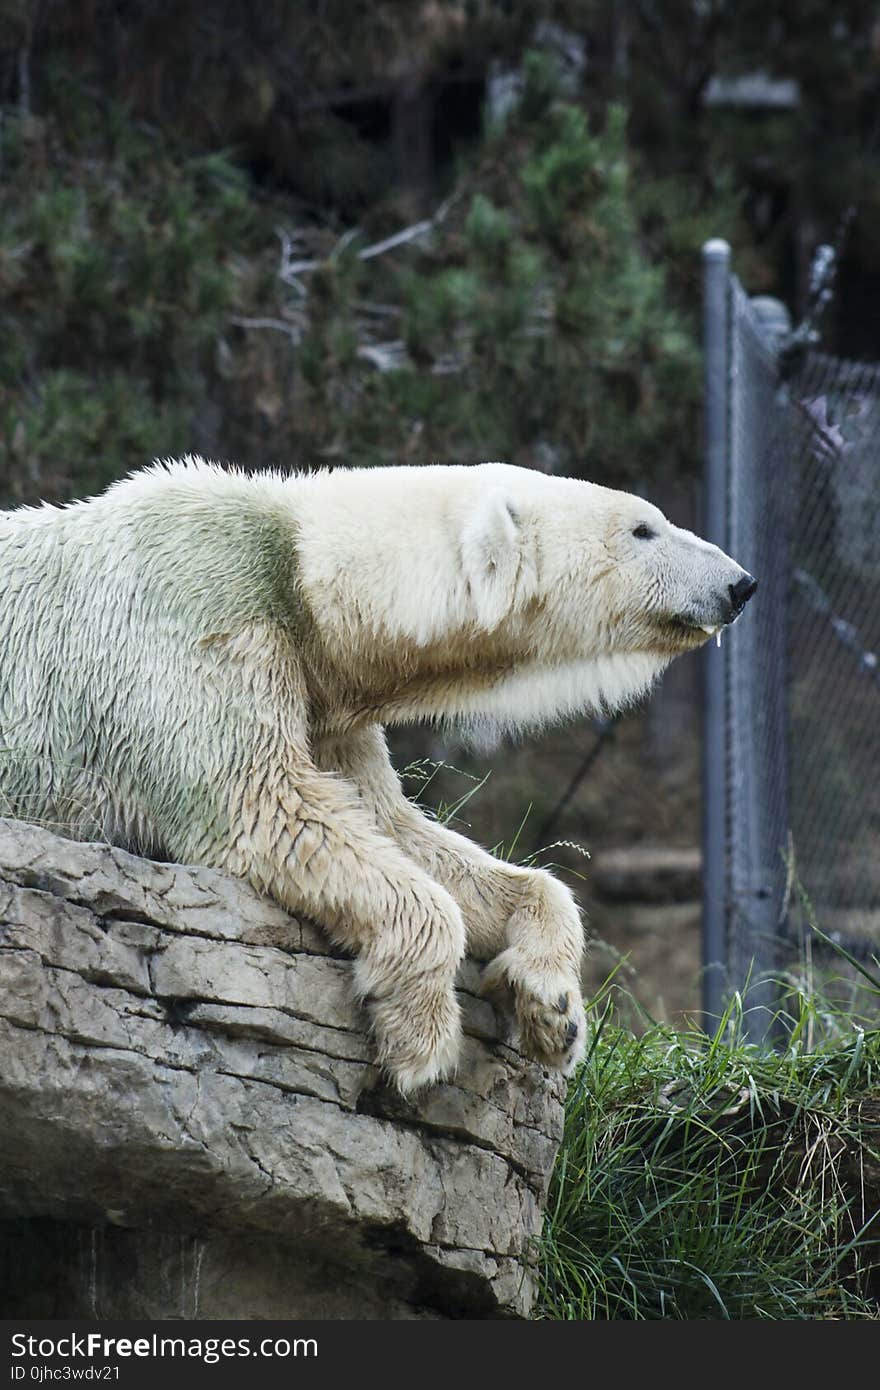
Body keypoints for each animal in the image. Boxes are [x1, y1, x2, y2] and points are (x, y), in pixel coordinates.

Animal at [0, 461, 756, 1089]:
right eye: (642, 527)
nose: (740, 584)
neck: (298, 567)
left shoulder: (327, 704)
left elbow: (396, 825)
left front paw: (555, 1007)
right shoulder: (201, 610)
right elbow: (265, 803)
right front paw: (420, 1040)